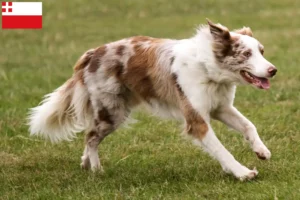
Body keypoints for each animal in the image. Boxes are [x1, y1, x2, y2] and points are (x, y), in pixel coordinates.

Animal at [28, 19, 276, 180]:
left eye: (262, 51)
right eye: (246, 54)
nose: (273, 70)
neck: (210, 70)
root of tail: (92, 54)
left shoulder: (220, 107)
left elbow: (249, 125)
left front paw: (261, 150)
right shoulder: (197, 120)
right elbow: (221, 149)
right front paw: (242, 172)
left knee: (90, 136)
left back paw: (86, 163)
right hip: (112, 112)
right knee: (90, 136)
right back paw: (97, 169)